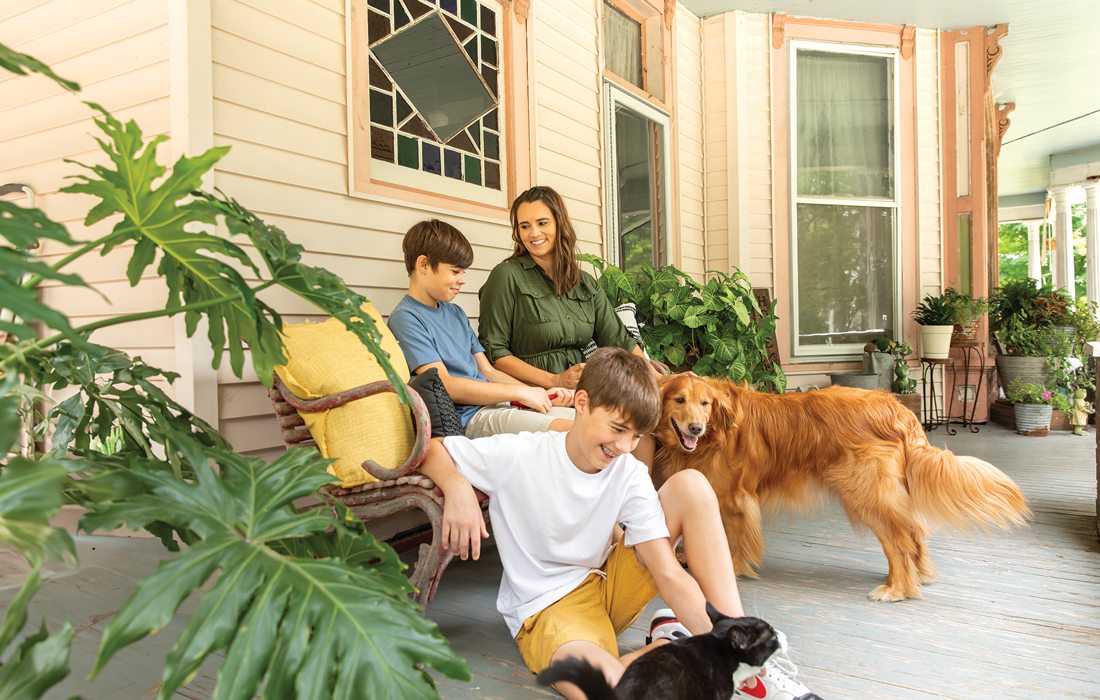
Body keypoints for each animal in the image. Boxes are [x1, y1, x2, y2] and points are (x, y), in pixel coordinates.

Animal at [651, 374, 1029, 598]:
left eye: (705, 403)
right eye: (679, 400)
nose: (696, 428)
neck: (716, 432)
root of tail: (896, 408)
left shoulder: (734, 501)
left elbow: (732, 544)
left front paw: (731, 570)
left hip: (868, 494)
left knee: (900, 540)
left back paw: (897, 589)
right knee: (915, 531)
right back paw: (919, 575)